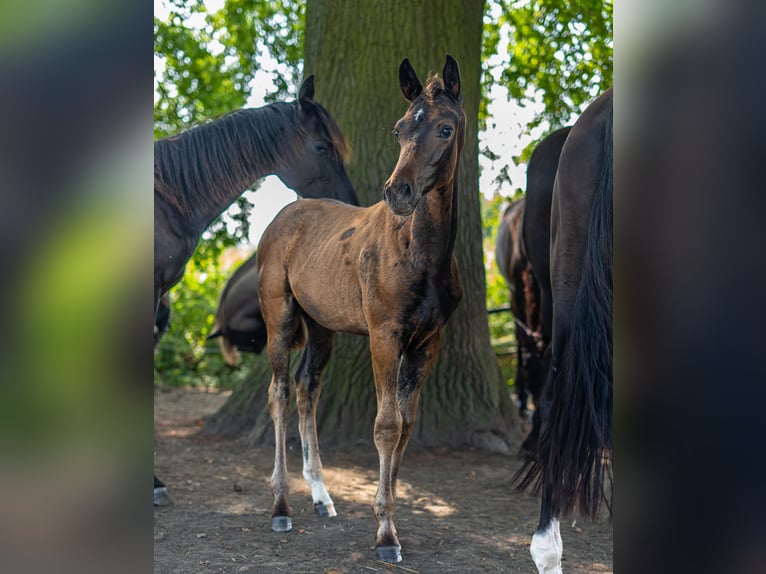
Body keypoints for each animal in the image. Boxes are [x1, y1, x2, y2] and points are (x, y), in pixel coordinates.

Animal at [258, 56, 464, 564]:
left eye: (445, 129)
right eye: (399, 129)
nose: (399, 192)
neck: (420, 252)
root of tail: (282, 219)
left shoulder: (427, 343)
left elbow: (406, 426)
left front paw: (389, 520)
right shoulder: (384, 335)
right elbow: (386, 425)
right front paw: (386, 535)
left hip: (321, 327)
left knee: (306, 388)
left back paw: (321, 497)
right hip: (280, 317)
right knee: (279, 393)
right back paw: (280, 506)